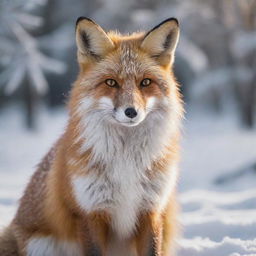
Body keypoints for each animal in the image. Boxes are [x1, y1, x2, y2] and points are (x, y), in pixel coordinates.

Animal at [0, 17, 184, 255]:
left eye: (145, 82)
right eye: (111, 82)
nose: (131, 112)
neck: (126, 163)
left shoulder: (150, 210)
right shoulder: (90, 213)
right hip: (41, 245)